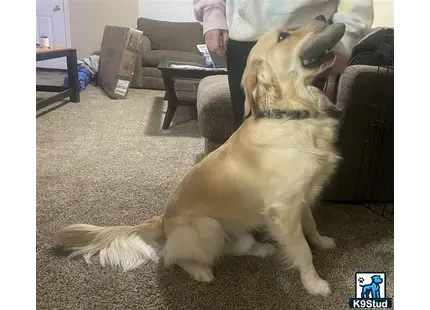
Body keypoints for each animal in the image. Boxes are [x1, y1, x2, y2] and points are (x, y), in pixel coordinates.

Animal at [55, 17, 348, 298]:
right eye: (283, 36)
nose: (323, 16)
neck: (292, 115)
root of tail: (162, 219)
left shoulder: (302, 197)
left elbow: (311, 225)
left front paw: (323, 242)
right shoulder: (284, 208)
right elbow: (302, 251)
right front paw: (315, 284)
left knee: (234, 247)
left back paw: (262, 249)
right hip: (208, 227)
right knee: (171, 257)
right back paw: (200, 271)